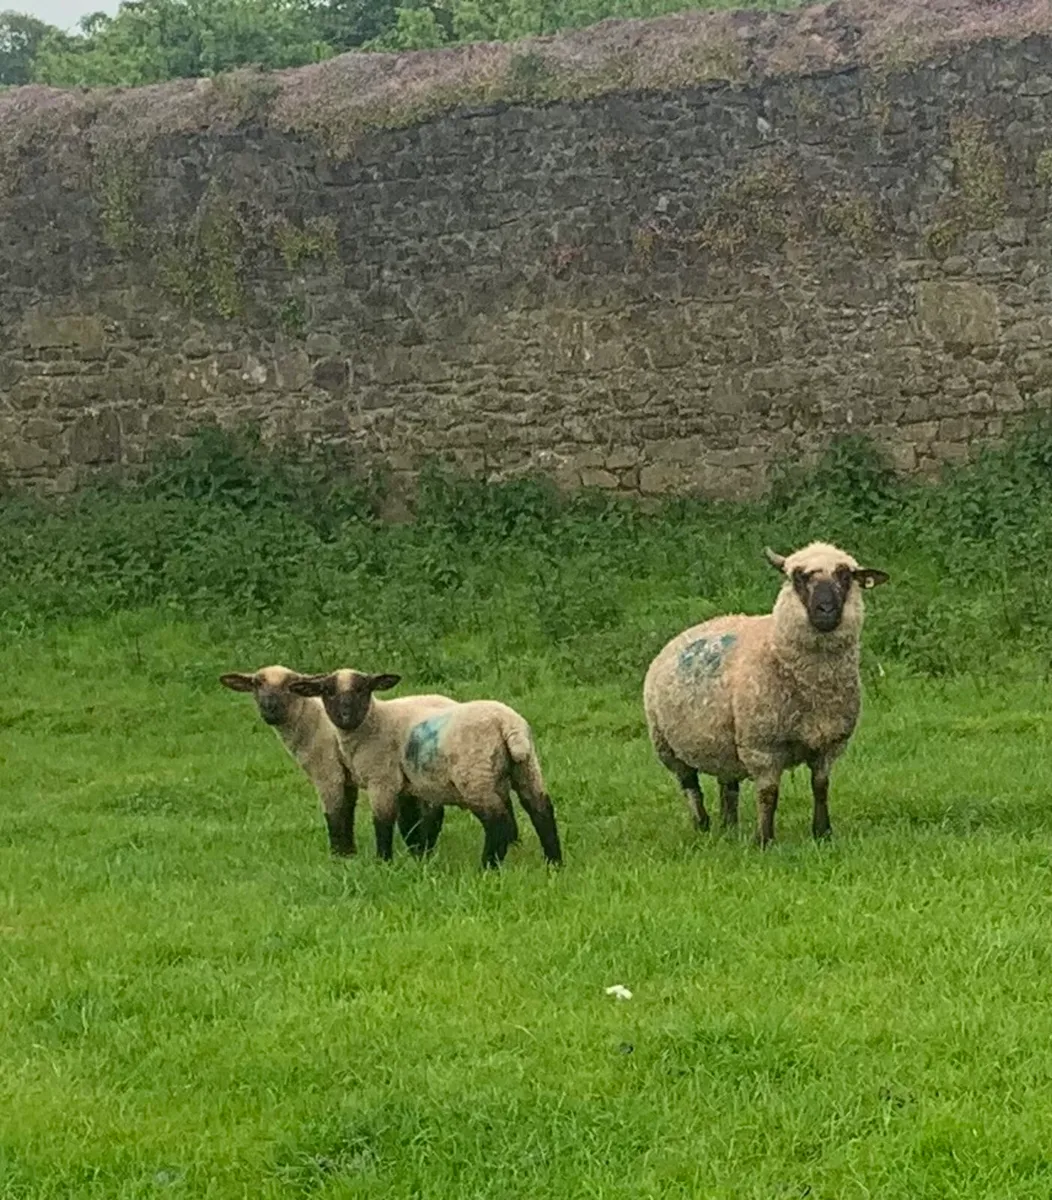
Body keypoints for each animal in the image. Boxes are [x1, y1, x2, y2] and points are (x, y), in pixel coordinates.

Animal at [219, 665, 456, 858]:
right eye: (256, 684)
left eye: (289, 685)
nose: (269, 709)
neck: (310, 720)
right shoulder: (347, 776)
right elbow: (347, 812)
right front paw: (349, 852)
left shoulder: (327, 772)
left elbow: (334, 814)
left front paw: (338, 856)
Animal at [287, 669, 563, 869]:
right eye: (327, 691)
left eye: (363, 689)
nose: (345, 716)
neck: (373, 723)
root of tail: (508, 724)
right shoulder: (406, 787)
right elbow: (408, 825)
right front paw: (417, 858)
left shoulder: (382, 780)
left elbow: (383, 822)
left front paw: (383, 862)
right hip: (526, 768)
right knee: (541, 810)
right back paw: (554, 863)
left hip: (475, 776)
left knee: (498, 821)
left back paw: (488, 866)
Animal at [643, 542, 889, 846]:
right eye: (798, 577)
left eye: (846, 576)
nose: (826, 610)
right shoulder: (762, 746)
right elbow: (768, 794)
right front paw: (764, 840)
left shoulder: (829, 742)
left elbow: (820, 786)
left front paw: (822, 833)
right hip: (666, 744)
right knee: (690, 785)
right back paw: (702, 825)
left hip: (725, 742)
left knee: (728, 785)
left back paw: (729, 827)